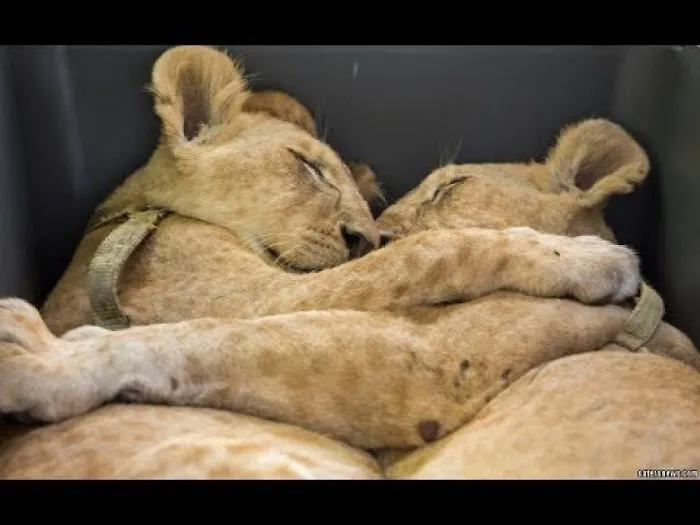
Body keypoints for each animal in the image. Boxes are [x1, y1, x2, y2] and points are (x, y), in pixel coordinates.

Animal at [1, 45, 698, 479]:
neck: (142, 213)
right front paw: (593, 260)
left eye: (445, 188)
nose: (367, 236)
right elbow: (440, 249)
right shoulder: (296, 305)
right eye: (308, 167)